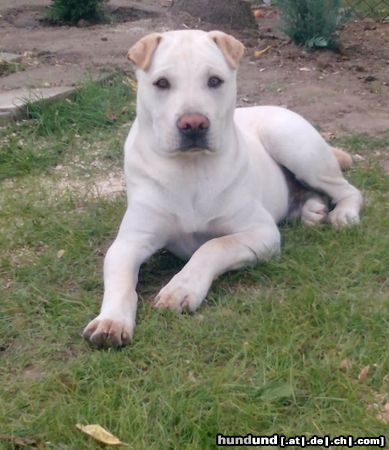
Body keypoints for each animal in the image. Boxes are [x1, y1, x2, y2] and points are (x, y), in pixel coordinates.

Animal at [83, 30, 362, 348]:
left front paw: (181, 288)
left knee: (347, 189)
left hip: (294, 146)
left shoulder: (261, 232)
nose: (193, 124)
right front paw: (111, 320)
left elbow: (212, 246)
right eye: (162, 83)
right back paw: (312, 210)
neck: (190, 169)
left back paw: (344, 214)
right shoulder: (129, 242)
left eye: (214, 81)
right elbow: (120, 283)